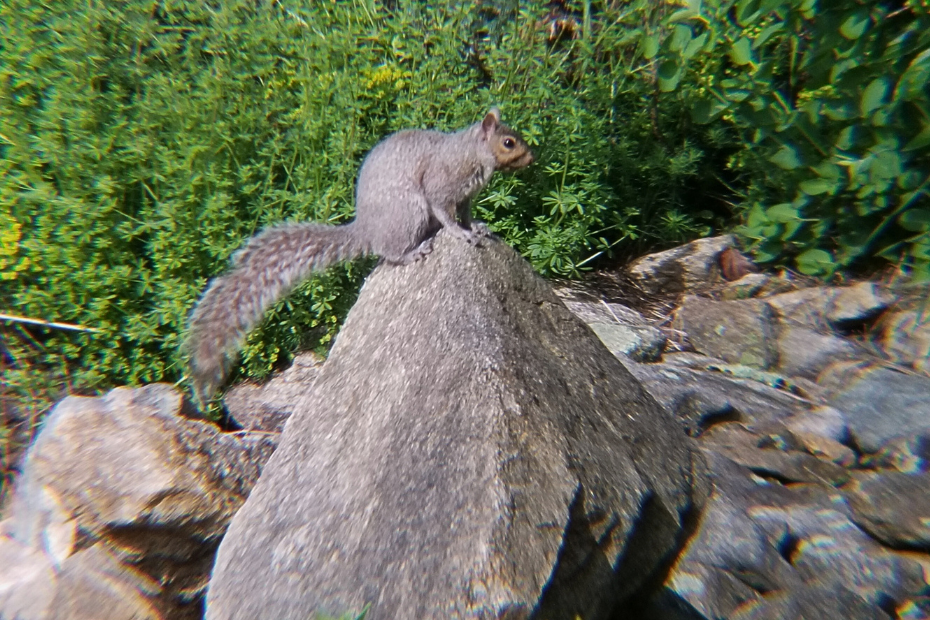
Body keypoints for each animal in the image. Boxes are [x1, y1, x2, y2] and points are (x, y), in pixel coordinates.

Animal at [186, 107, 534, 404]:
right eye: (508, 142)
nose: (532, 157)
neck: (471, 152)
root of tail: (366, 228)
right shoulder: (442, 185)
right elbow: (446, 214)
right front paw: (461, 234)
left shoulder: (465, 197)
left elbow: (465, 214)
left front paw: (477, 227)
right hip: (408, 214)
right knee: (390, 252)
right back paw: (413, 252)